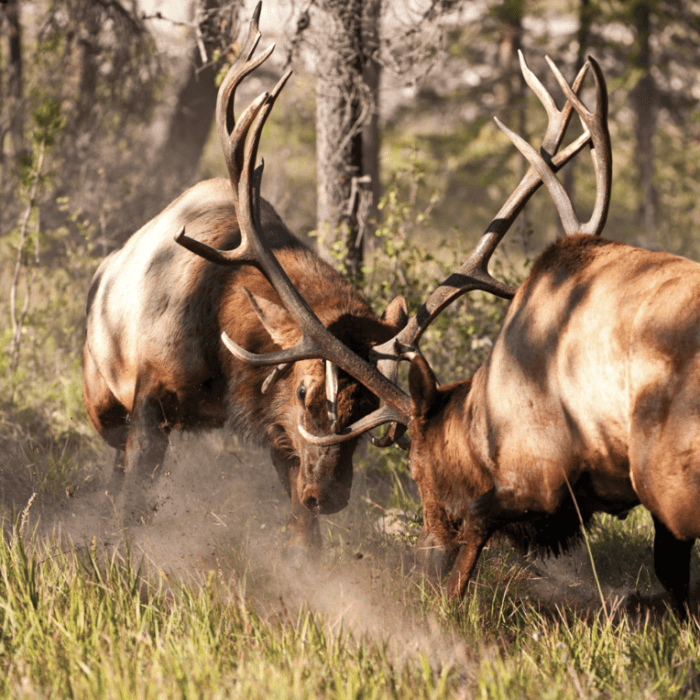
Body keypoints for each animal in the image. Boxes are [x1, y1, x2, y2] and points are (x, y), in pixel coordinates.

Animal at [82, 3, 408, 556]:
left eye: (366, 405)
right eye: (303, 392)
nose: (328, 495)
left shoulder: (278, 429)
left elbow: (301, 528)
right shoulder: (148, 395)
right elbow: (133, 501)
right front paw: (120, 556)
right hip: (100, 397)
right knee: (114, 460)